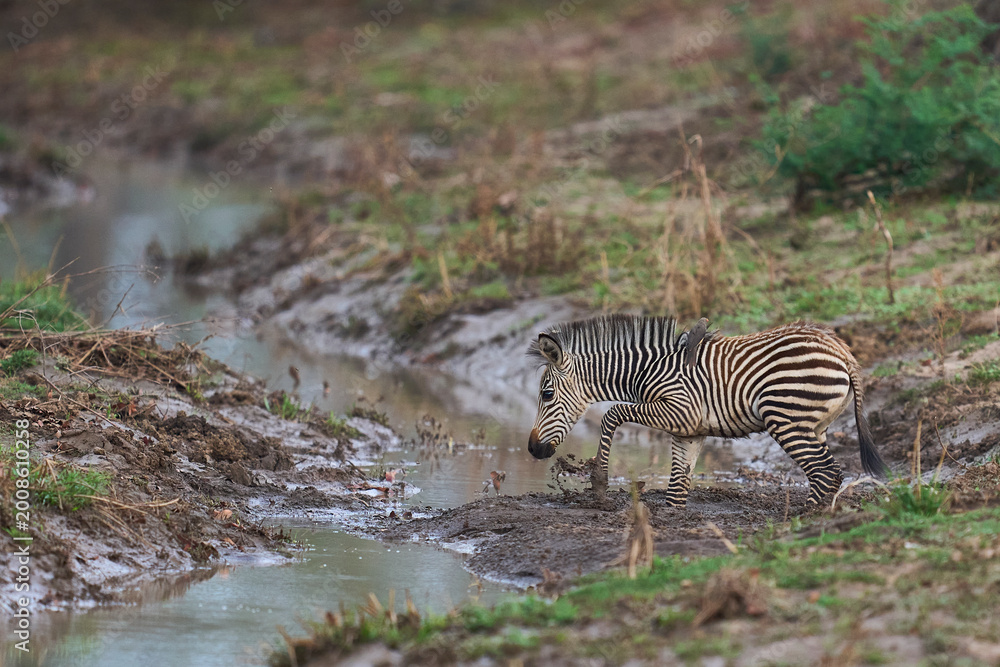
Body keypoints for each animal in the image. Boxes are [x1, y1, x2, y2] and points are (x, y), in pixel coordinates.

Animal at [526, 315, 887, 506]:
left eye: (546, 394)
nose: (532, 449)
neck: (648, 371)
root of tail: (840, 349)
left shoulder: (678, 410)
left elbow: (612, 413)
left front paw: (599, 482)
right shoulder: (689, 431)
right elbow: (677, 488)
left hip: (786, 419)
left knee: (825, 473)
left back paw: (801, 523)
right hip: (815, 425)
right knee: (829, 473)